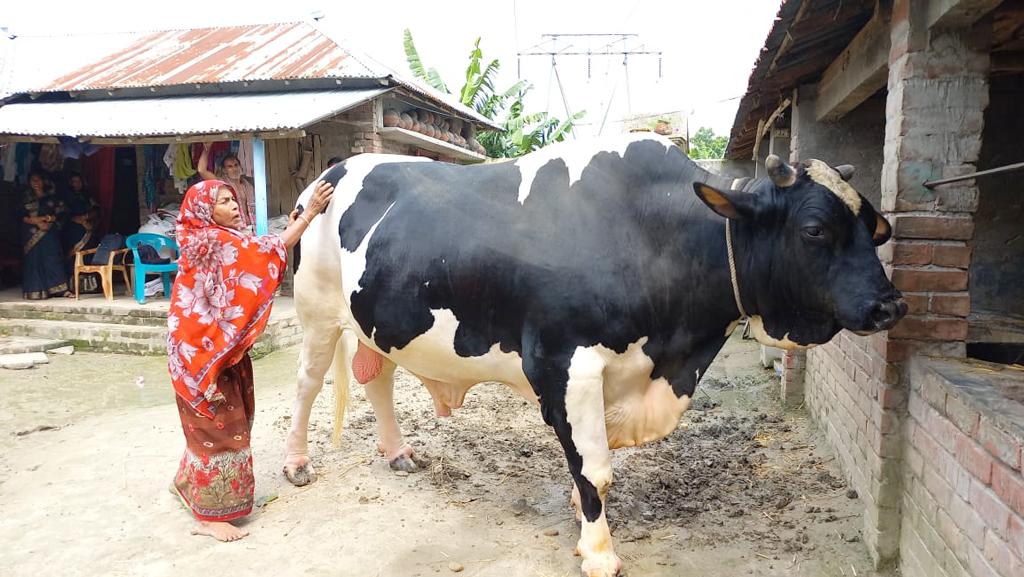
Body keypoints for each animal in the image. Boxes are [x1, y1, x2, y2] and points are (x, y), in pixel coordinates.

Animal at [280, 133, 905, 573]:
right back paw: (296, 463)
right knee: (307, 385)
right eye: (815, 229)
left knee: (378, 380)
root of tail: (332, 171)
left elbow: (590, 468)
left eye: (875, 226)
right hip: (316, 311)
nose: (890, 306)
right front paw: (599, 552)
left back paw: (396, 453)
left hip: (377, 321)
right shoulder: (565, 366)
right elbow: (595, 471)